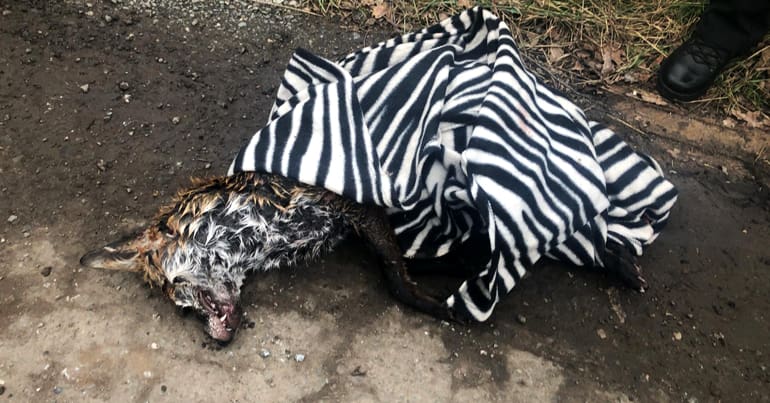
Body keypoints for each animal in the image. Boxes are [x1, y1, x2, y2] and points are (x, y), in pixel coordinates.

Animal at [81, 172, 646, 345]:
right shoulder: (368, 226)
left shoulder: (356, 208)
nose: (214, 338)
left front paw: (445, 307)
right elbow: (443, 257)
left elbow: (400, 279)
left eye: (177, 295)